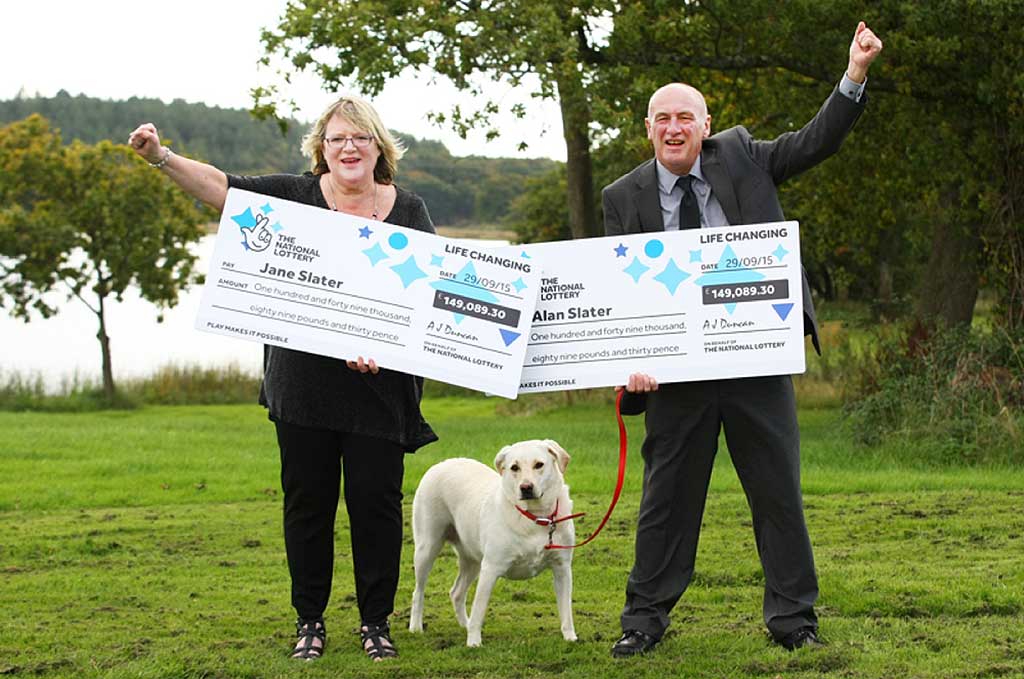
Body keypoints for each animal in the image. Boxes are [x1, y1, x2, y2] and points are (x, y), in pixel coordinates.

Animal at [409, 440, 585, 647]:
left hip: (473, 561)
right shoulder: (490, 569)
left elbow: (566, 610)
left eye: (539, 464)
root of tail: (442, 463)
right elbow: (479, 609)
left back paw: (465, 624)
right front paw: (474, 642)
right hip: (427, 549)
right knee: (418, 592)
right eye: (514, 467)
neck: (536, 518)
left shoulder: (562, 568)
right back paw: (416, 627)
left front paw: (570, 637)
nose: (526, 487)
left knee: (456, 592)